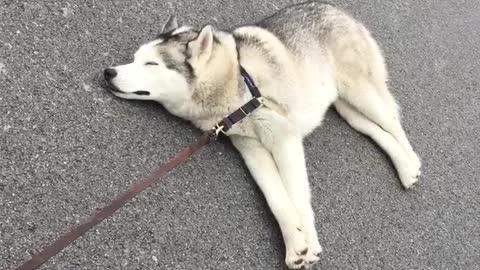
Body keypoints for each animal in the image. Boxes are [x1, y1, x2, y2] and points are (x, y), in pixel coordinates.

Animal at [103, 1, 422, 268]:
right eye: (135, 59)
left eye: (152, 64)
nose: (108, 72)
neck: (236, 84)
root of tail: (335, 9)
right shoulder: (251, 149)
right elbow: (278, 200)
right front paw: (295, 245)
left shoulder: (285, 140)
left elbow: (297, 197)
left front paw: (310, 243)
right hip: (346, 107)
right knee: (375, 129)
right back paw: (404, 164)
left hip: (360, 92)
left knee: (394, 122)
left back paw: (410, 165)